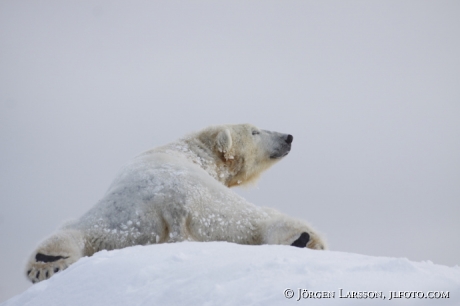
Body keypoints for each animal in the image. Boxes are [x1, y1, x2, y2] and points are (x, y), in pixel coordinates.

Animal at [26, 123, 328, 282]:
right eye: (255, 131)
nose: (288, 137)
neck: (191, 151)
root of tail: (172, 206)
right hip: (208, 208)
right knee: (260, 218)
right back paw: (305, 238)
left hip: (125, 223)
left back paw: (47, 262)